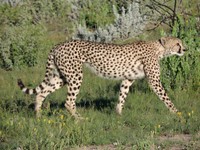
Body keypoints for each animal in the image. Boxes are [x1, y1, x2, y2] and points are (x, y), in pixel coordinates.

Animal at [17, 36, 186, 118]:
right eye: (177, 43)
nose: (185, 49)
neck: (159, 49)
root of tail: (58, 45)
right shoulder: (154, 81)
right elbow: (166, 97)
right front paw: (177, 113)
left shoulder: (127, 79)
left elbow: (122, 96)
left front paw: (118, 114)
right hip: (75, 75)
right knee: (68, 101)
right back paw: (79, 119)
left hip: (61, 77)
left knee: (41, 93)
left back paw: (38, 116)